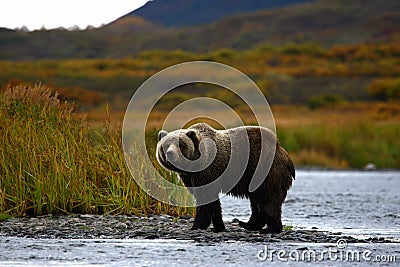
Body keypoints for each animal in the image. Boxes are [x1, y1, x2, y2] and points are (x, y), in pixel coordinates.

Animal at [155, 122, 294, 233]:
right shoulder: (191, 178)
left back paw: (270, 228)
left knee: (268, 199)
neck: (194, 166)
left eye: (181, 145)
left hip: (265, 171)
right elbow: (213, 203)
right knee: (257, 201)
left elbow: (205, 199)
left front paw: (197, 225)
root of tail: (282, 151)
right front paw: (218, 226)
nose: (170, 153)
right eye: (166, 145)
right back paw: (249, 224)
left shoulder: (207, 172)